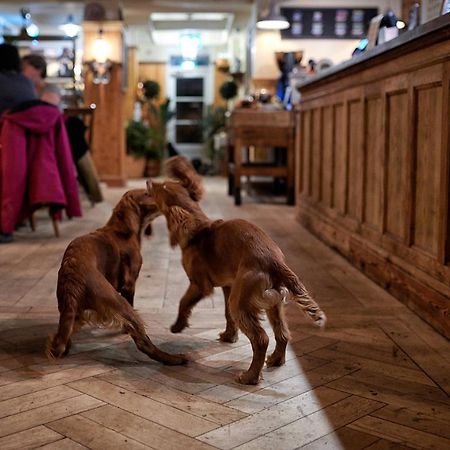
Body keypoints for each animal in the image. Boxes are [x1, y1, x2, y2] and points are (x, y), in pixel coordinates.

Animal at [48, 188, 188, 368]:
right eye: (147, 193)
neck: (121, 230)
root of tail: (72, 274)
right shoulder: (129, 285)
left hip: (70, 311)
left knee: (62, 338)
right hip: (118, 302)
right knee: (143, 342)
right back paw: (174, 358)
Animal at [148, 157, 326, 384]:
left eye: (161, 187)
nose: (149, 181)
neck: (197, 226)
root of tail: (274, 260)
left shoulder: (200, 285)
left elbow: (183, 302)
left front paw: (178, 326)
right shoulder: (228, 285)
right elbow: (226, 315)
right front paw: (229, 336)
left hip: (241, 301)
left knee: (261, 339)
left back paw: (250, 376)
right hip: (272, 301)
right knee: (282, 333)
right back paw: (276, 360)